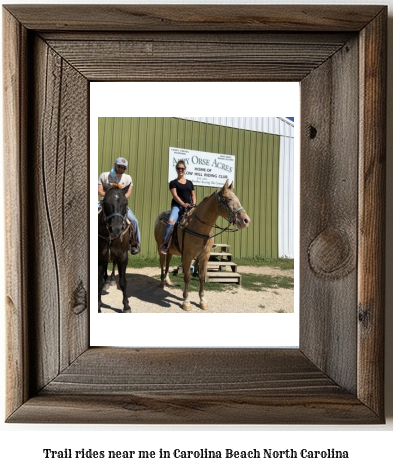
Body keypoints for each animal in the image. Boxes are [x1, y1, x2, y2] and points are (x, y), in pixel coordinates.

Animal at [97, 183, 130, 312]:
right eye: (105, 202)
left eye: (125, 203)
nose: (116, 229)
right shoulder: (100, 259)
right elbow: (99, 283)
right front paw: (98, 306)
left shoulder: (123, 257)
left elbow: (123, 282)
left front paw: (126, 306)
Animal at [153, 179, 248, 312]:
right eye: (228, 199)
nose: (246, 220)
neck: (199, 227)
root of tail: (159, 217)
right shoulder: (187, 256)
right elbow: (187, 277)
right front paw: (186, 302)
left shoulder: (204, 256)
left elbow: (202, 277)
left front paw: (202, 301)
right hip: (160, 247)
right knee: (162, 263)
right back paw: (162, 282)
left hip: (170, 250)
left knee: (167, 263)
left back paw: (167, 280)